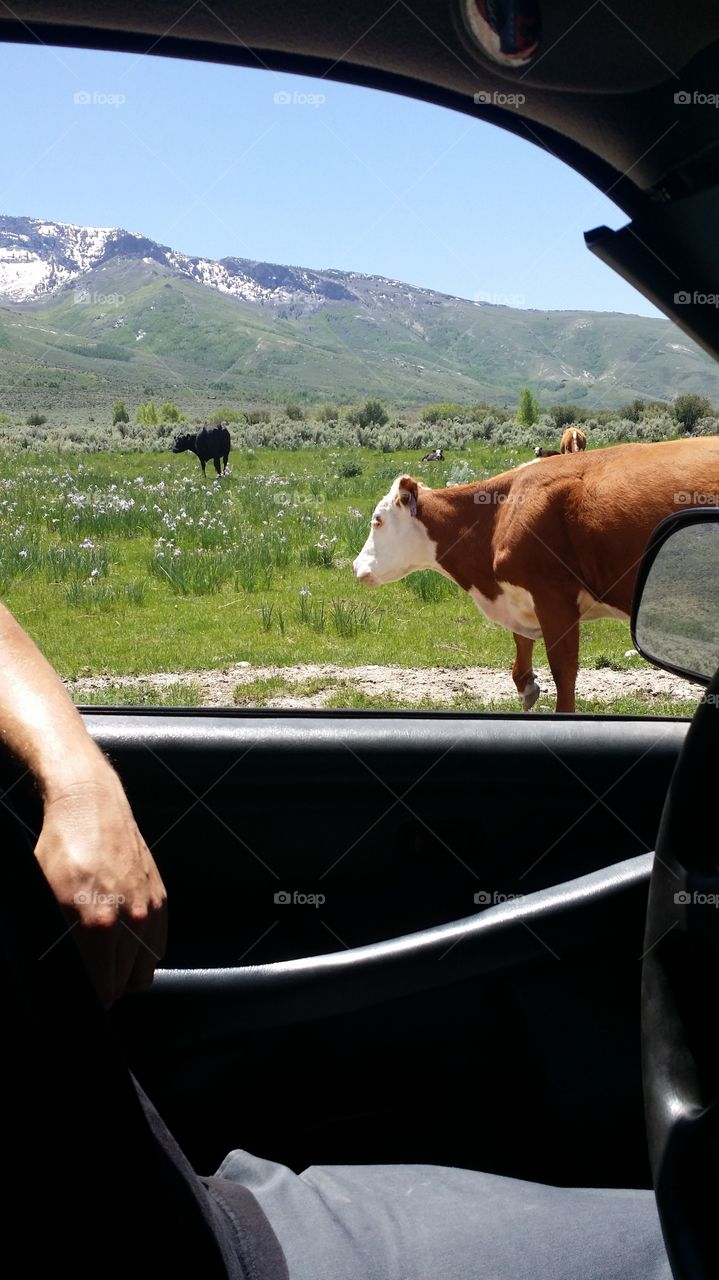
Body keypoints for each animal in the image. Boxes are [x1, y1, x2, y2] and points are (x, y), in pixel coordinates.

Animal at [352, 437, 719, 712]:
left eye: (377, 521)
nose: (357, 567)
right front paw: (527, 685)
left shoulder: (554, 597)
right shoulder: (523, 597)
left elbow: (563, 671)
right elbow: (521, 646)